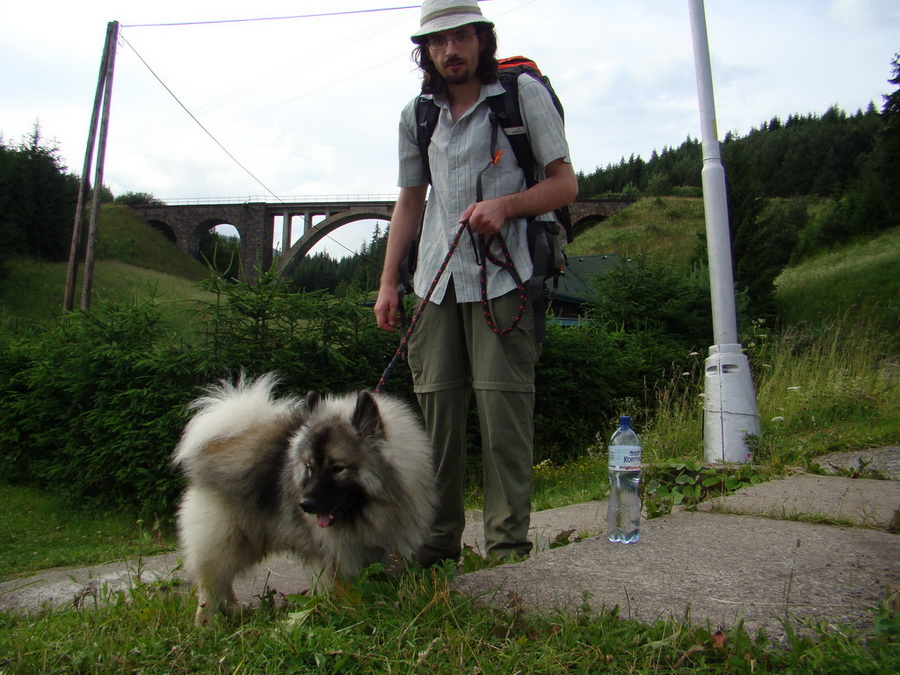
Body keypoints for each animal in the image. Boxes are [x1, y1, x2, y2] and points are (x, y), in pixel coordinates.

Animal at [171, 372, 436, 624]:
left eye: (337, 468)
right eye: (310, 467)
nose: (305, 505)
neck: (370, 511)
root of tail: (223, 444)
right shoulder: (332, 557)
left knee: (223, 582)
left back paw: (234, 610)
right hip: (226, 539)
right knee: (211, 584)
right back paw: (208, 622)